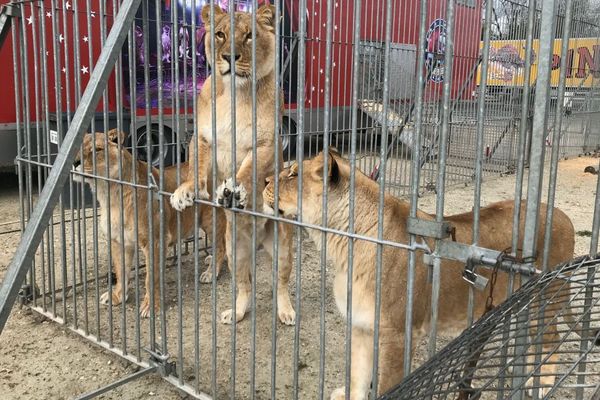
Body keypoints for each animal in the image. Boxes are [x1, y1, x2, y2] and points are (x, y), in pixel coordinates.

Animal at [73, 131, 227, 318]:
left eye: (98, 150)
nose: (75, 162)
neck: (110, 193)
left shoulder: (155, 241)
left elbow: (151, 278)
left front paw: (150, 307)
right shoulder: (118, 241)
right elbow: (121, 271)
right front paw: (117, 296)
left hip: (211, 220)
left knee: (221, 246)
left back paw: (211, 272)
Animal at [169, 4, 296, 326]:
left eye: (250, 36)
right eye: (220, 34)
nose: (230, 57)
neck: (235, 94)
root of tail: (257, 242)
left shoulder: (266, 145)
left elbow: (248, 170)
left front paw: (234, 191)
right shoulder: (201, 138)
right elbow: (196, 168)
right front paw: (186, 192)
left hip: (282, 247)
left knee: (281, 283)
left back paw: (286, 311)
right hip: (234, 246)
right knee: (244, 284)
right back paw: (233, 310)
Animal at [264, 151, 576, 400]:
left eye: (293, 174)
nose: (265, 181)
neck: (343, 245)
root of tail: (563, 215)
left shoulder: (399, 335)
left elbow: (387, 385)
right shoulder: (361, 326)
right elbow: (359, 377)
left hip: (545, 299)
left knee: (552, 336)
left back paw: (542, 382)